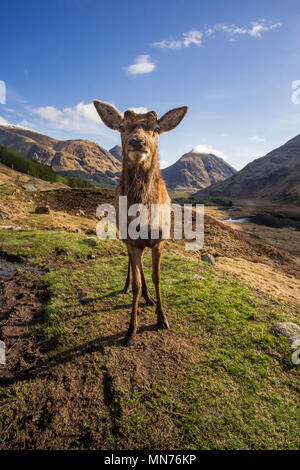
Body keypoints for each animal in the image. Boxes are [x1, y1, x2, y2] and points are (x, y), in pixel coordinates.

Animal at [94, 101, 188, 346]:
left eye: (156, 128)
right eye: (122, 127)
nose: (137, 141)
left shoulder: (160, 241)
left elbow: (157, 277)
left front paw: (162, 319)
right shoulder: (132, 241)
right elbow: (137, 281)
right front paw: (130, 331)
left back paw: (149, 297)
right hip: (124, 236)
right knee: (132, 265)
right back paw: (127, 287)